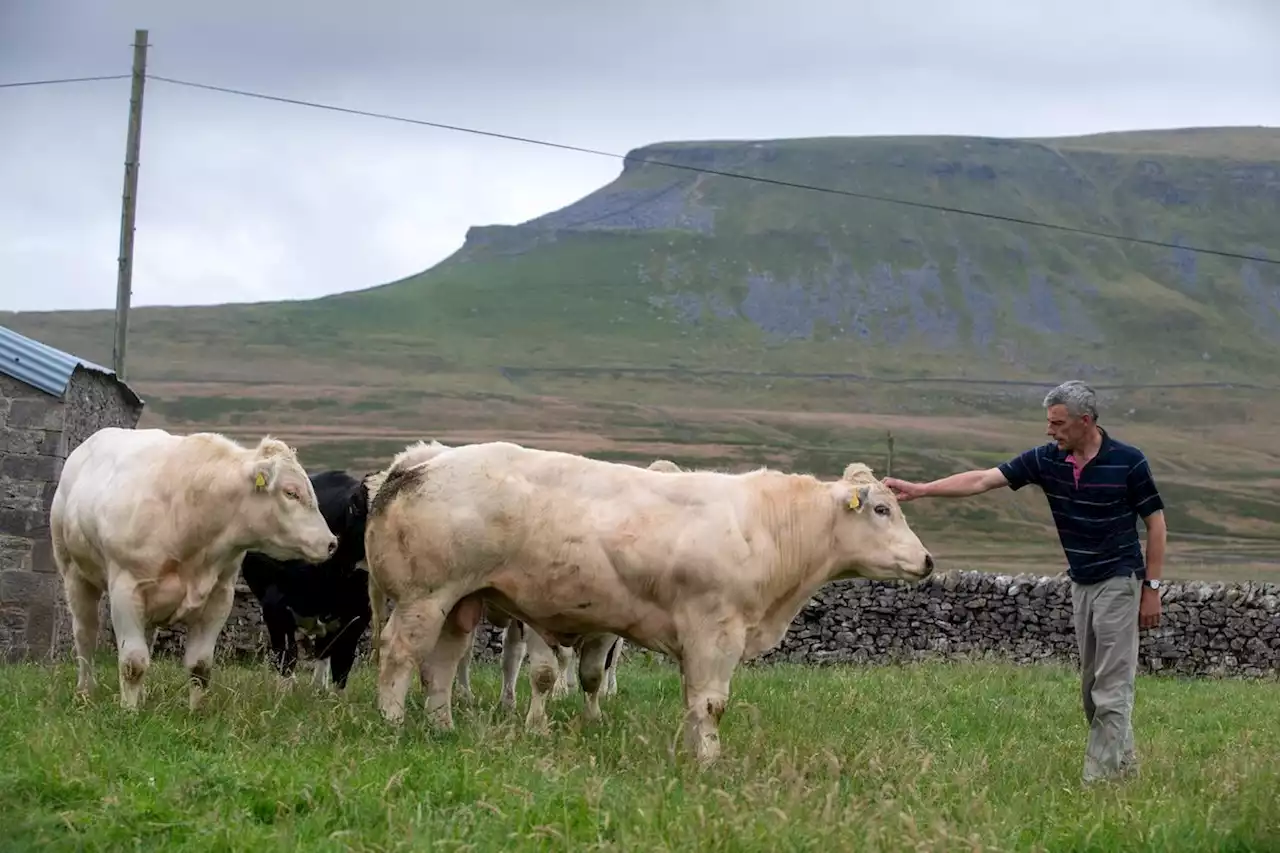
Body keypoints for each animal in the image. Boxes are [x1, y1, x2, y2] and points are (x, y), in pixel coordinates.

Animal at [52, 425, 337, 712]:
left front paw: (196, 711)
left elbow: (200, 666)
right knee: (85, 636)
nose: (331, 543)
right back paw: (85, 693)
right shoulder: (126, 588)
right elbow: (133, 662)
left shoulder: (219, 596)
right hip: (75, 574)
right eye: (291, 492)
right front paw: (129, 712)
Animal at [360, 438, 931, 763]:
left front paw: (694, 752)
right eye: (882, 509)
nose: (926, 560)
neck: (767, 526)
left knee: (439, 666)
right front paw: (709, 762)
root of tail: (424, 461)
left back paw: (442, 727)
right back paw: (391, 723)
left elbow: (691, 702)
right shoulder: (715, 631)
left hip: (460, 604)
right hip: (423, 597)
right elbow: (711, 703)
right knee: (399, 655)